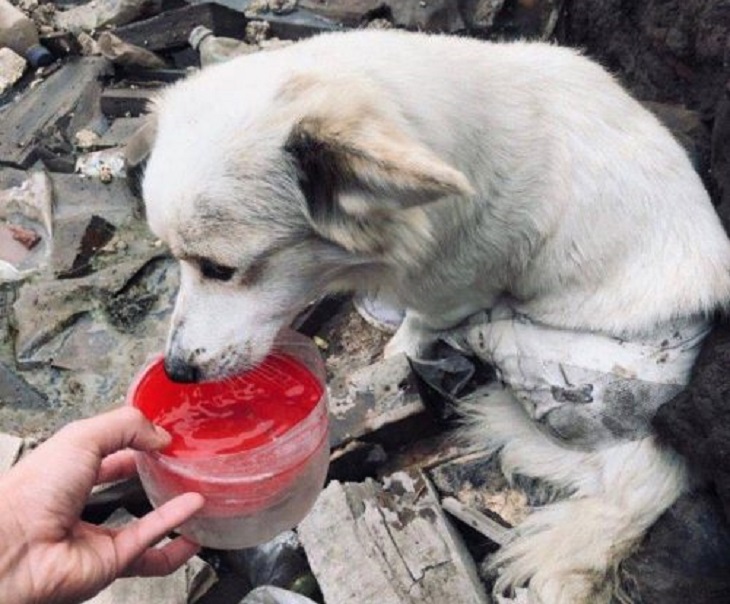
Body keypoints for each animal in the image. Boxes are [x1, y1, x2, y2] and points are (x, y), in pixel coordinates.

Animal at [141, 31, 728, 604]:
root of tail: (654, 440)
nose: (176, 371)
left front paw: (400, 349)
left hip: (532, 346)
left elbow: (421, 323)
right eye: (175, 258)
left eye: (219, 268)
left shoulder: (452, 289)